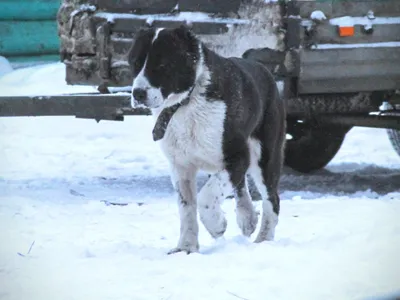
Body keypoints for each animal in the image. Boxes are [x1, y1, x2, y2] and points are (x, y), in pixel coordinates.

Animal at [130, 25, 286, 254]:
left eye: (162, 64)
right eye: (134, 63)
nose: (138, 93)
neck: (187, 103)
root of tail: (263, 69)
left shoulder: (237, 156)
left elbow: (206, 196)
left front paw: (217, 225)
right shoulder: (181, 166)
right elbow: (186, 207)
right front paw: (186, 248)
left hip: (265, 156)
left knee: (271, 198)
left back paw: (263, 239)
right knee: (241, 186)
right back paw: (247, 218)